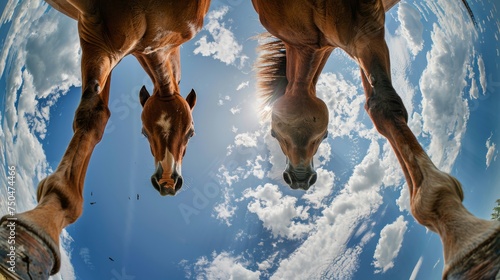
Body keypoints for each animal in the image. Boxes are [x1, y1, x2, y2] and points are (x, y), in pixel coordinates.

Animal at [0, 0, 209, 278]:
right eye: (143, 132)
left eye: (190, 132)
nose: (166, 181)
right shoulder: (99, 36)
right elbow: (93, 115)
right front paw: (42, 223)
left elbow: (97, 112)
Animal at [254, 0, 500, 278]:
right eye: (274, 134)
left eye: (325, 134)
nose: (299, 178)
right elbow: (375, 107)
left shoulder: (362, 27)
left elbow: (383, 105)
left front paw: (462, 236)